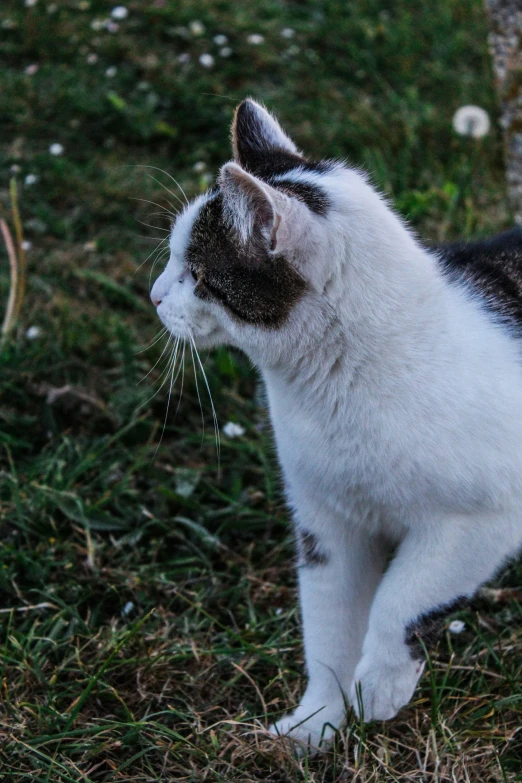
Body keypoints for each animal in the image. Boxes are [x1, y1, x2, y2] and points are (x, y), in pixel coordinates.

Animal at [147, 101, 522, 752]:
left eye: (197, 273)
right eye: (173, 260)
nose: (154, 296)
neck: (333, 389)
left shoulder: (482, 520)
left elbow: (403, 598)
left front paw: (380, 685)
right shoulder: (324, 518)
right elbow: (328, 624)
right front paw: (316, 723)